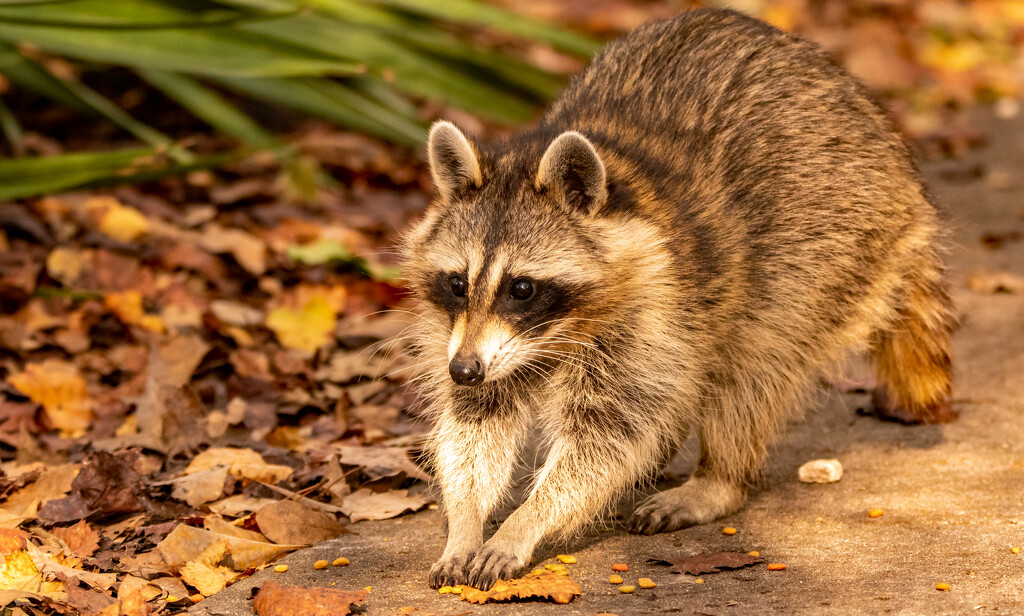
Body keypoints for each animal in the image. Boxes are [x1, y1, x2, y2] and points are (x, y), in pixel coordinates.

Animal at [397, 6, 950, 589]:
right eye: (458, 283)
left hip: (831, 241)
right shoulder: (472, 337)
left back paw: (720, 478)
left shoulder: (654, 306)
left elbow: (605, 439)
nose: (463, 370)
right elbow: (476, 427)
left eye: (521, 288)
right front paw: (465, 520)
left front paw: (526, 521)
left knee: (754, 365)